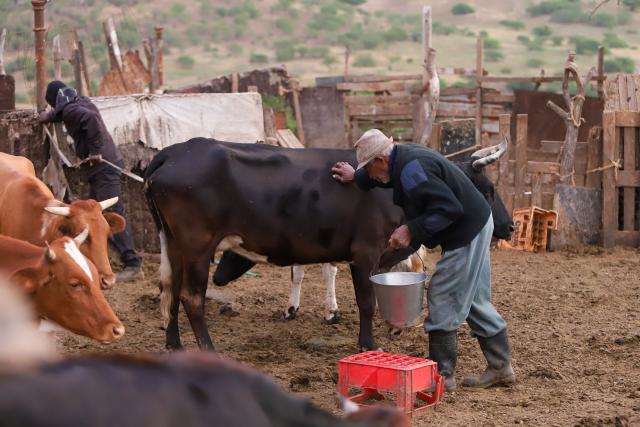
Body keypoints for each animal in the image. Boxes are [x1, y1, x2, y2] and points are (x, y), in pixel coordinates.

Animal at [145, 138, 510, 351]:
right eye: (488, 190)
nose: (508, 226)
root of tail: (175, 151)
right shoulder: (365, 251)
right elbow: (366, 301)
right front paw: (368, 344)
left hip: (173, 243)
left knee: (170, 290)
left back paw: (174, 346)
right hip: (198, 245)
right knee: (191, 297)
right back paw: (208, 351)